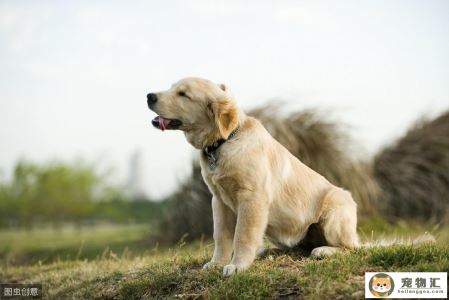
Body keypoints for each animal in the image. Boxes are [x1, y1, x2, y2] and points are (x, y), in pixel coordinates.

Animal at [146, 77, 356, 276]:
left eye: (183, 94)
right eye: (172, 87)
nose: (149, 96)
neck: (224, 141)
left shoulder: (251, 197)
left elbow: (242, 235)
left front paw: (237, 266)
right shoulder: (219, 201)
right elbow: (221, 236)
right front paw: (217, 263)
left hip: (335, 208)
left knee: (351, 247)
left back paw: (323, 250)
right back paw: (268, 252)